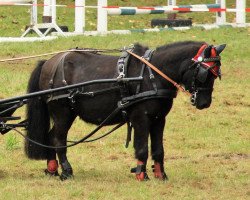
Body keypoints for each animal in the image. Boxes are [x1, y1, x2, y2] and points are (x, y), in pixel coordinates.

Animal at [25, 41, 227, 181]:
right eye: (205, 73)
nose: (204, 103)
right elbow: (142, 148)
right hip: (63, 112)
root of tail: (49, 62)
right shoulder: (141, 118)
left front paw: (160, 175)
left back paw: (52, 169)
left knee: (50, 137)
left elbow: (158, 149)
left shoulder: (159, 119)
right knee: (58, 139)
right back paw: (66, 171)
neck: (151, 75)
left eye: (217, 73)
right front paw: (141, 175)